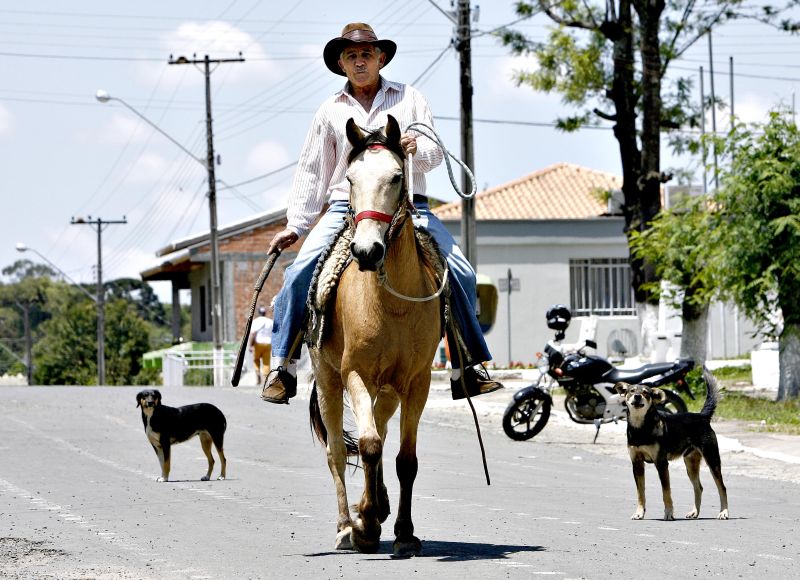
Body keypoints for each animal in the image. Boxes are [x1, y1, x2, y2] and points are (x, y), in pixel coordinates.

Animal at [308, 114, 445, 558]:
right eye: (349, 178)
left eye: (397, 176)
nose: (367, 251)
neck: (392, 302)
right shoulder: (355, 374)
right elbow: (366, 445)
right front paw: (365, 525)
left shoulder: (417, 382)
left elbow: (405, 459)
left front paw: (403, 531)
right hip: (329, 380)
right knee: (337, 450)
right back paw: (345, 526)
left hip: (387, 389)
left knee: (382, 433)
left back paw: (379, 505)